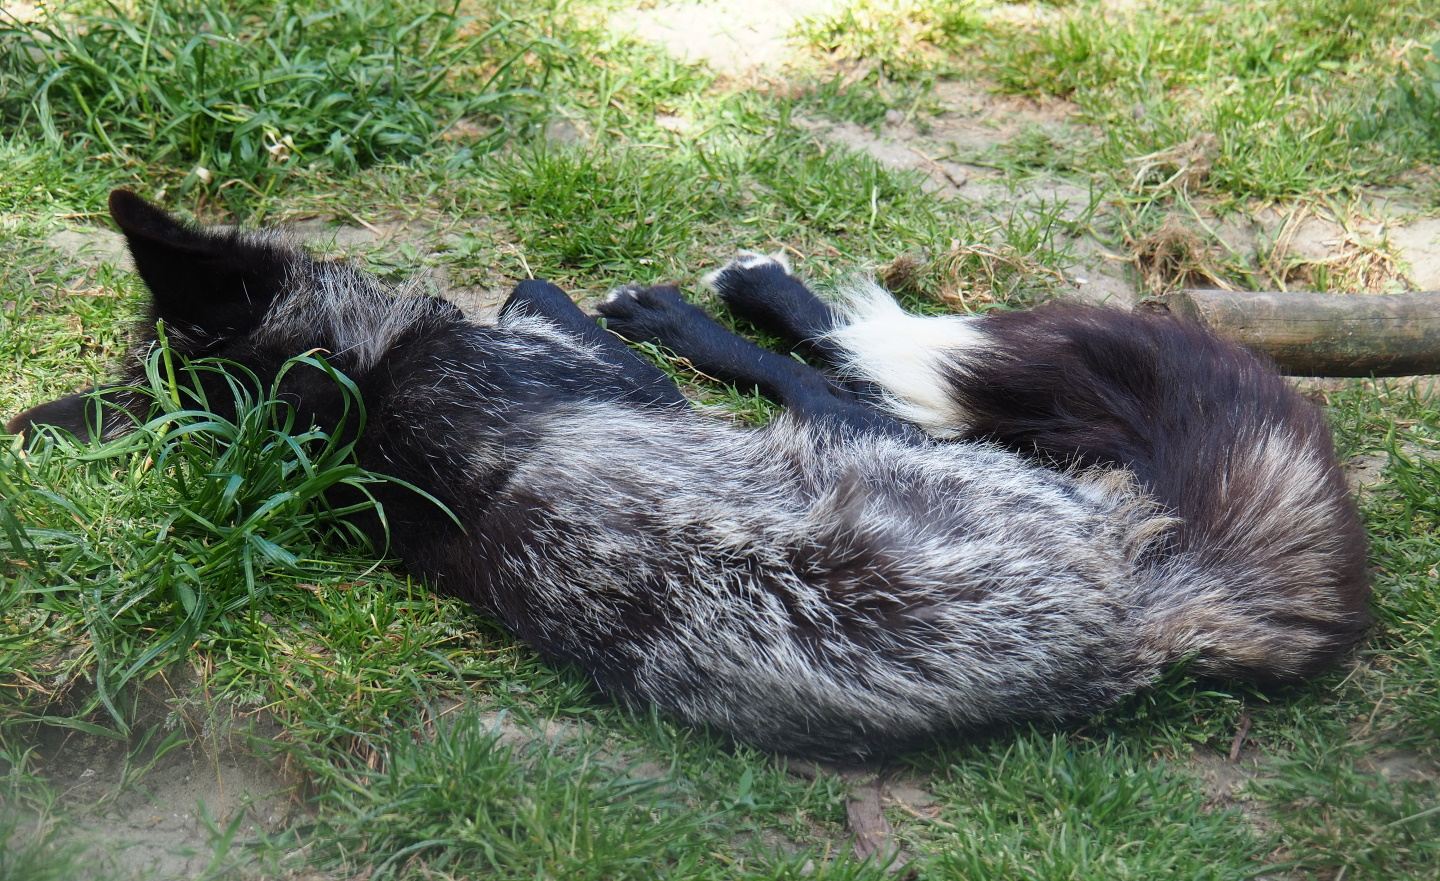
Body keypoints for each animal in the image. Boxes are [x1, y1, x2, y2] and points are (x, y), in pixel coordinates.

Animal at [6, 190, 1370, 758]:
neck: (353, 416)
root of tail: (1157, 611)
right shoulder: (603, 375)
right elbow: (542, 290)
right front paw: (658, 301)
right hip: (905, 441)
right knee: (840, 377)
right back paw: (744, 294)